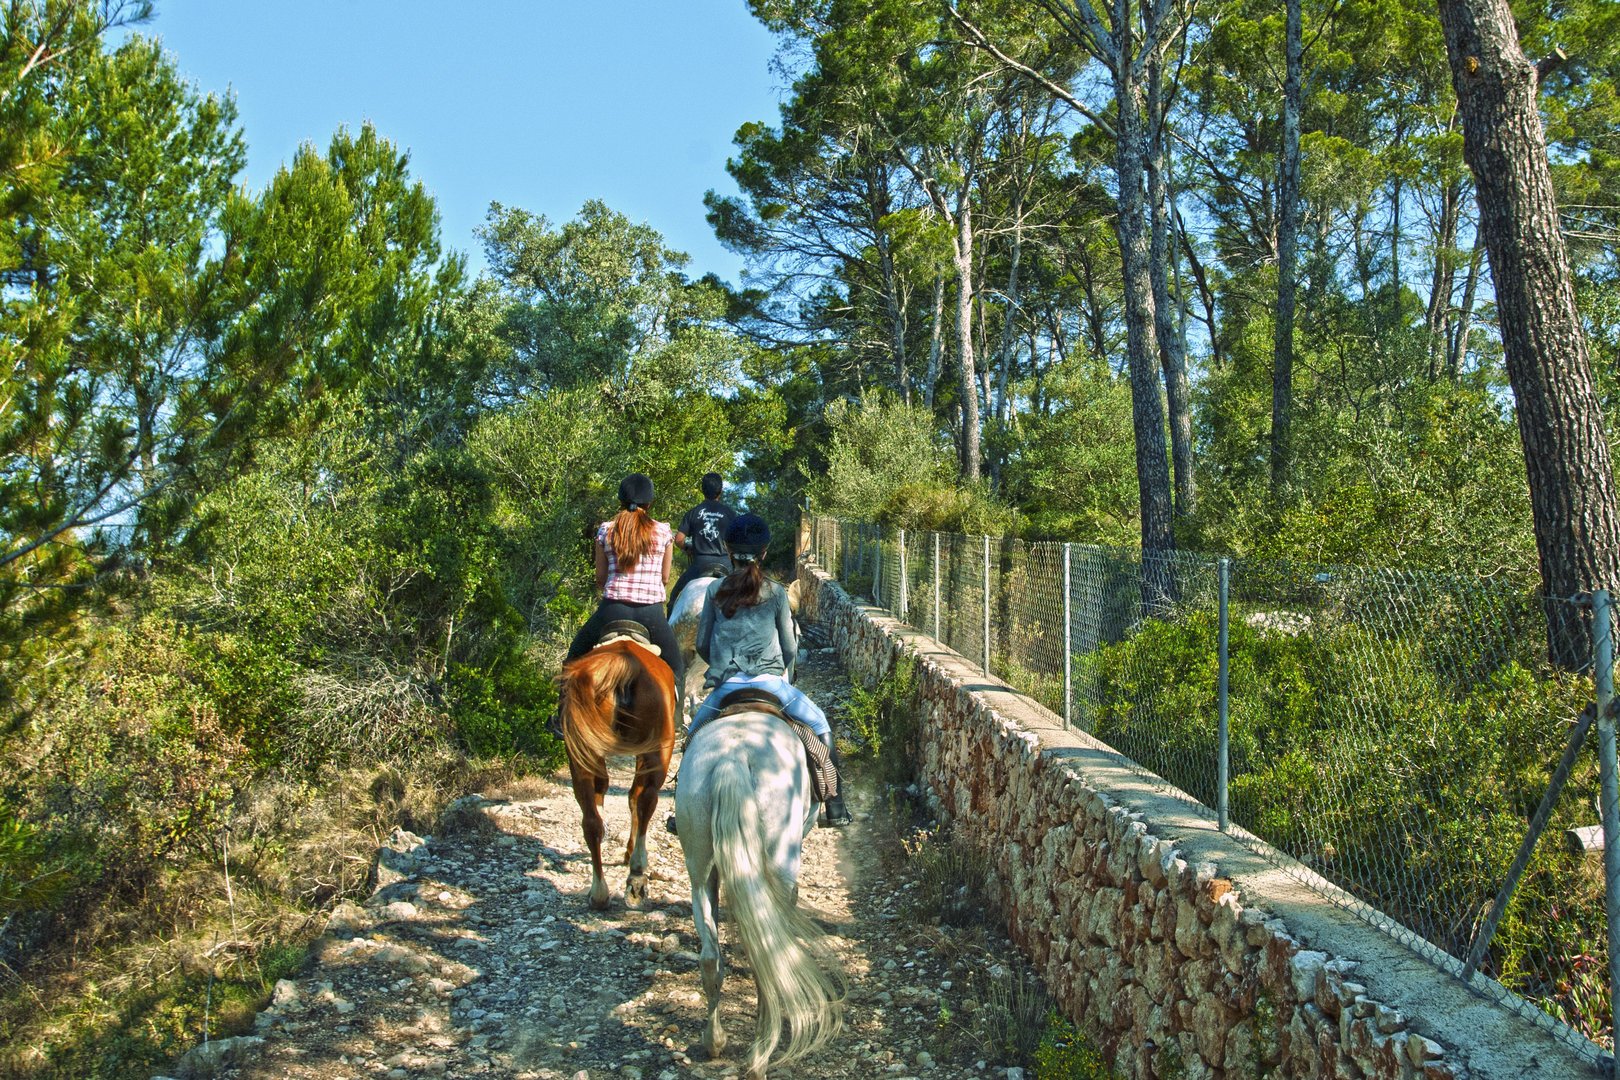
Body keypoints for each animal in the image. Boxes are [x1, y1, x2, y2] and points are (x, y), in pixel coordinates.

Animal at [557, 632, 678, 909]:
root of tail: (624, 662)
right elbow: (634, 797)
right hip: (659, 750)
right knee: (645, 800)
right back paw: (637, 876)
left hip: (581, 753)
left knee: (592, 820)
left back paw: (599, 892)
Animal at [675, 708, 844, 1078]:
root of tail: (732, 756)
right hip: (781, 860)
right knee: (768, 956)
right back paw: (759, 1056)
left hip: (698, 867)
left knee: (710, 958)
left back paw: (714, 1041)